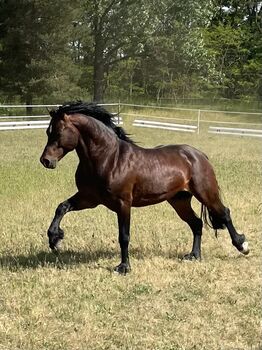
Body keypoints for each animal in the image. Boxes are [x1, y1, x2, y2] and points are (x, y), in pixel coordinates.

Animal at [40, 100, 249, 274]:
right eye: (47, 133)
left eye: (58, 132)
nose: (46, 161)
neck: (109, 159)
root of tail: (199, 155)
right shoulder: (89, 198)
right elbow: (61, 207)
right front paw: (55, 239)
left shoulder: (123, 203)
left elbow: (124, 236)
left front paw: (124, 267)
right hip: (179, 200)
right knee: (197, 223)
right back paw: (194, 256)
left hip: (206, 193)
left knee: (224, 213)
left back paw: (242, 245)